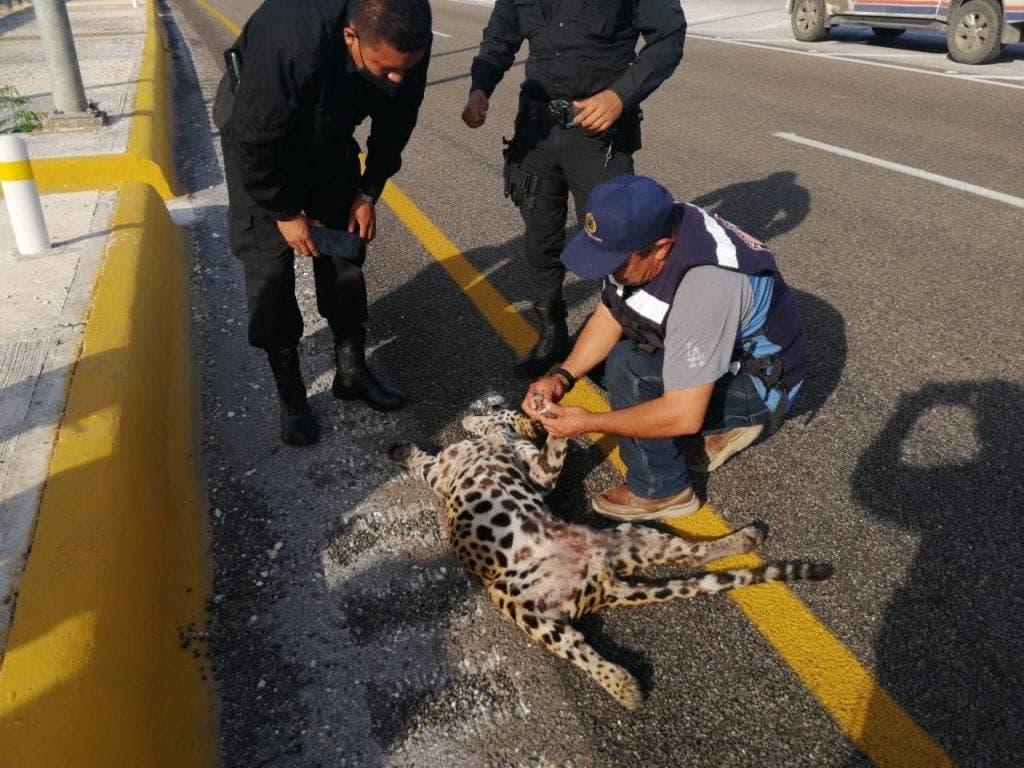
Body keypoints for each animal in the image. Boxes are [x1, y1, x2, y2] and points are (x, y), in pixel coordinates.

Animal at [389, 407, 832, 709]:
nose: (477, 413)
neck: (499, 442)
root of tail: (601, 582)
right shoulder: (497, 471)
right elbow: (426, 461)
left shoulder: (535, 471)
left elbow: (533, 445)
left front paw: (547, 418)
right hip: (529, 607)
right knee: (580, 645)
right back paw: (626, 686)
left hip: (634, 539)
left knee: (692, 554)